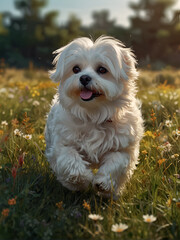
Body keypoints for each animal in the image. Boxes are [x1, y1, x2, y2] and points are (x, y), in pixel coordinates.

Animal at [45, 35, 143, 197]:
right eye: (76, 69)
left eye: (102, 69)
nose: (84, 78)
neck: (94, 114)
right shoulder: (62, 143)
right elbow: (68, 159)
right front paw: (81, 180)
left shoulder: (124, 148)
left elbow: (116, 162)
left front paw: (104, 184)